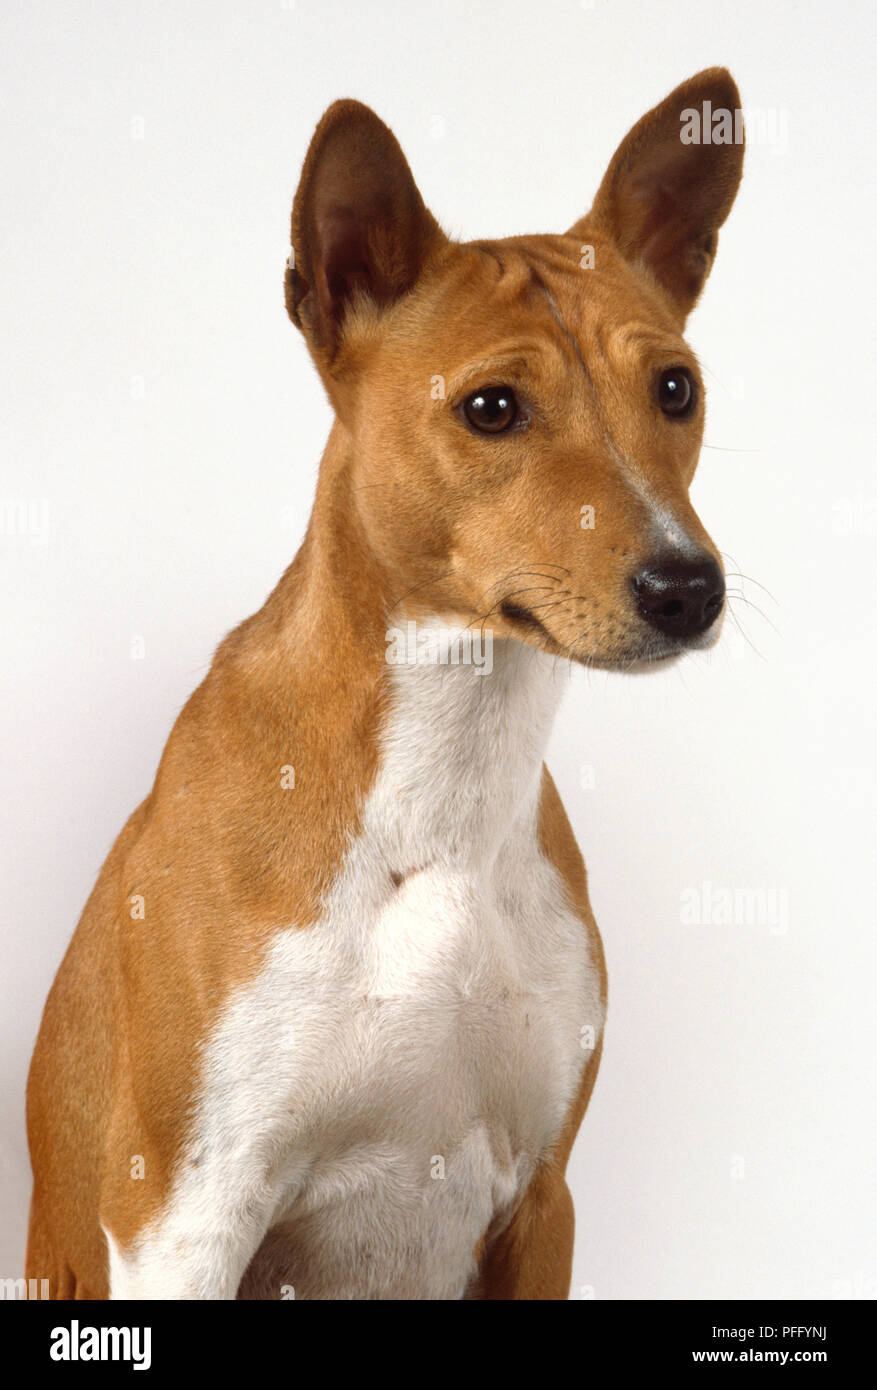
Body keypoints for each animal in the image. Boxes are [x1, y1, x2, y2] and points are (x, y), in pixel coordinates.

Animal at [25, 67, 739, 1301]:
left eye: (675, 389)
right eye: (492, 407)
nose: (686, 585)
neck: (442, 794)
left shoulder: (540, 1203)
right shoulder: (180, 1218)